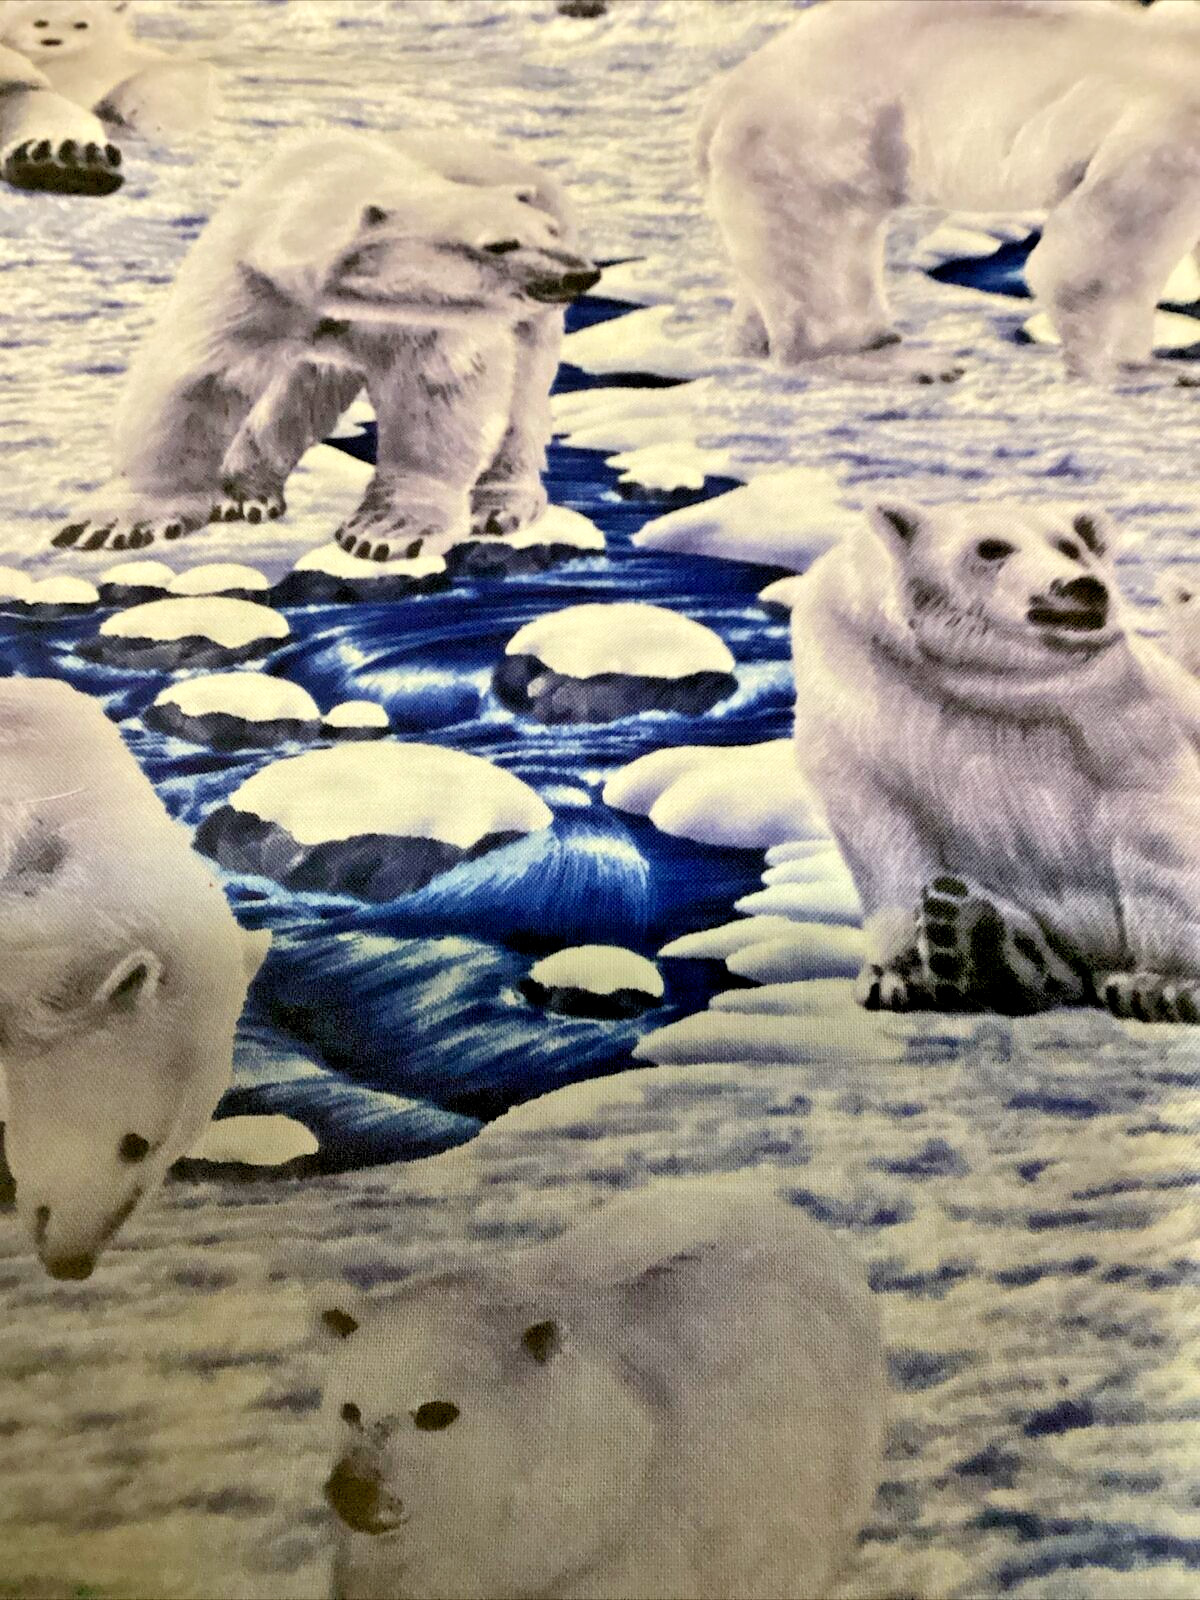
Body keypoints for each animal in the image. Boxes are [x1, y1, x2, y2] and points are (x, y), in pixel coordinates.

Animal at [52, 128, 599, 560]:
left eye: (548, 233)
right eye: (500, 244)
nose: (581, 272)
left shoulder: (427, 317)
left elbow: (437, 392)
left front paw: (386, 530)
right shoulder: (253, 284)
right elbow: (202, 378)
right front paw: (114, 523)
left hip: (536, 321)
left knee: (524, 399)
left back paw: (499, 504)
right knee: (298, 392)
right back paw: (247, 494)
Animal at [698, 0, 1200, 383]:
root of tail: (725, 96)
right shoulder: (1168, 128)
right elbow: (1099, 254)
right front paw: (1143, 369)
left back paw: (748, 345)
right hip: (820, 138)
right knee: (821, 256)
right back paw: (900, 360)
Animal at [790, 498, 1200, 1022]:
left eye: (1072, 547)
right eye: (991, 548)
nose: (1083, 587)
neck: (990, 686)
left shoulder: (1116, 717)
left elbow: (1155, 826)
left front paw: (1163, 985)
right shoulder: (864, 701)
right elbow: (883, 839)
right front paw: (897, 975)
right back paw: (974, 936)